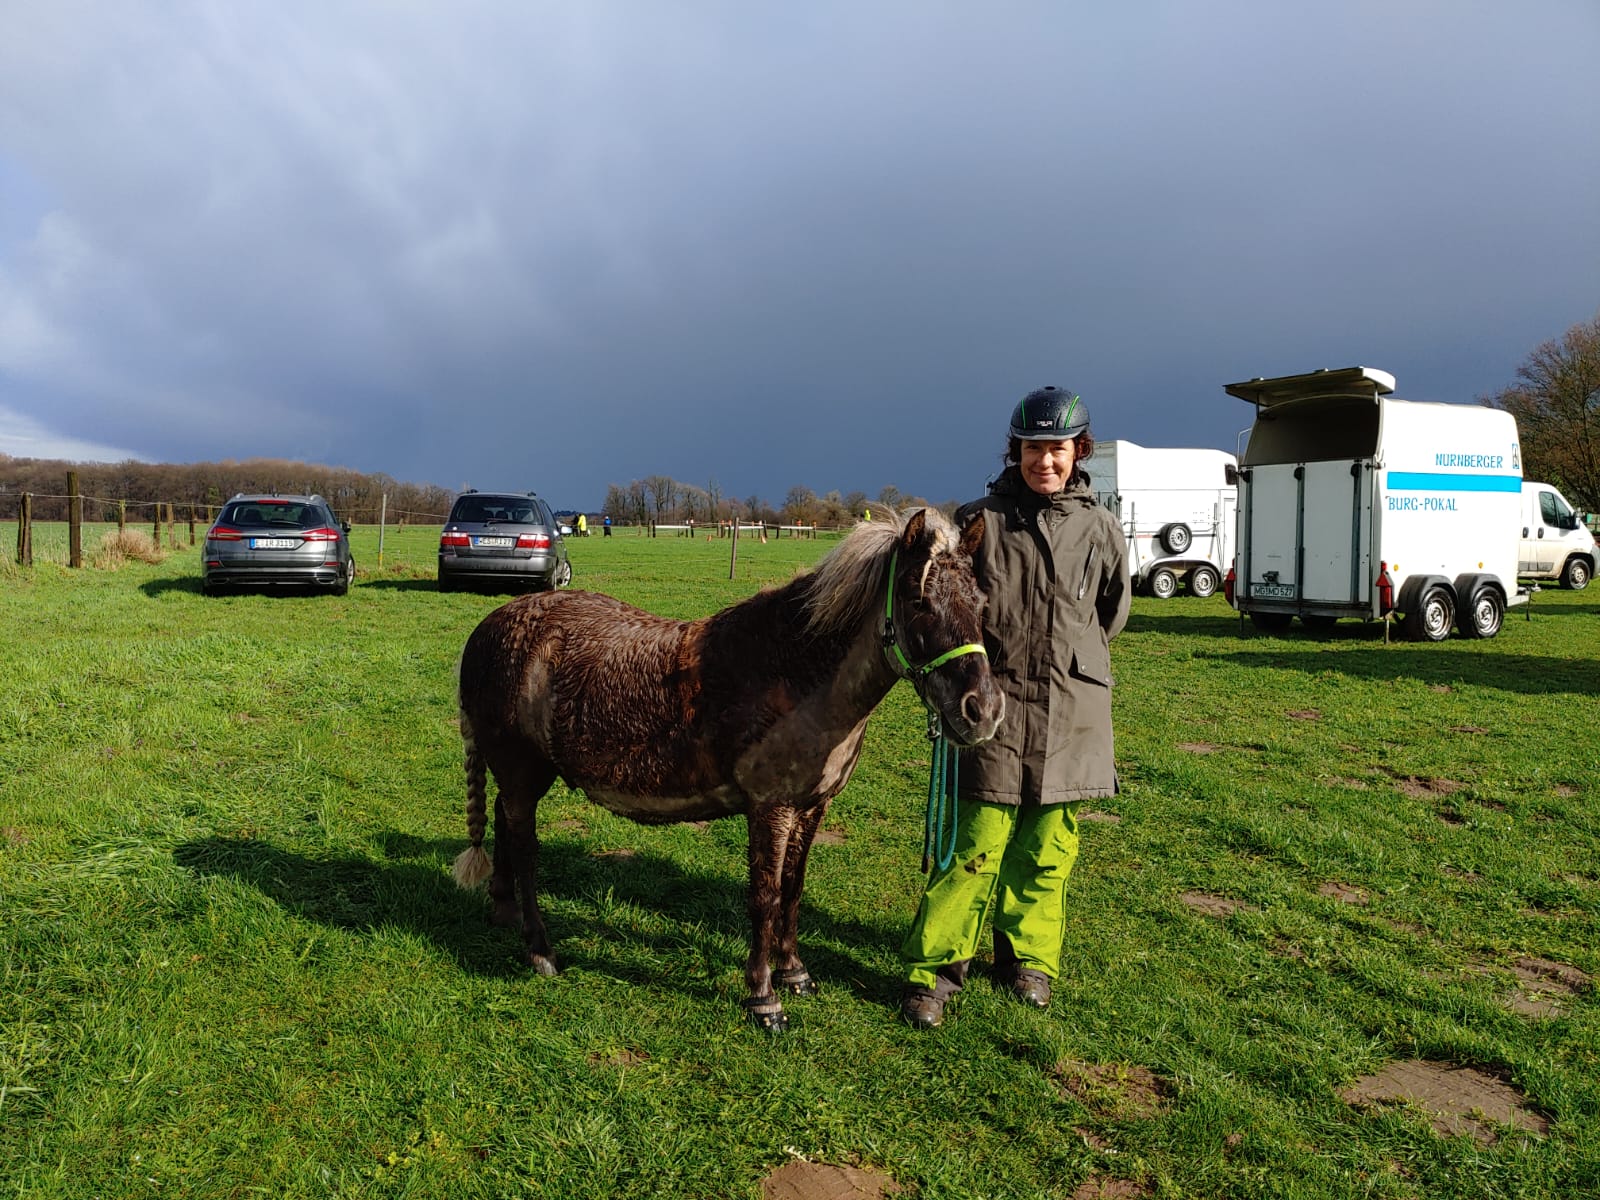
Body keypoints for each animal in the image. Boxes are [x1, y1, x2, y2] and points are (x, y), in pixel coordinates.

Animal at [451, 508, 998, 1036]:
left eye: (982, 603)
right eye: (917, 601)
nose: (982, 711)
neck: (793, 671)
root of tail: (486, 629)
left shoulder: (812, 807)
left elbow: (793, 891)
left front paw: (795, 972)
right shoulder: (770, 809)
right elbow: (764, 898)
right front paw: (764, 998)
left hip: (521, 775)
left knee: (501, 820)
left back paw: (503, 911)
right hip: (522, 771)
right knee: (525, 850)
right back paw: (540, 950)